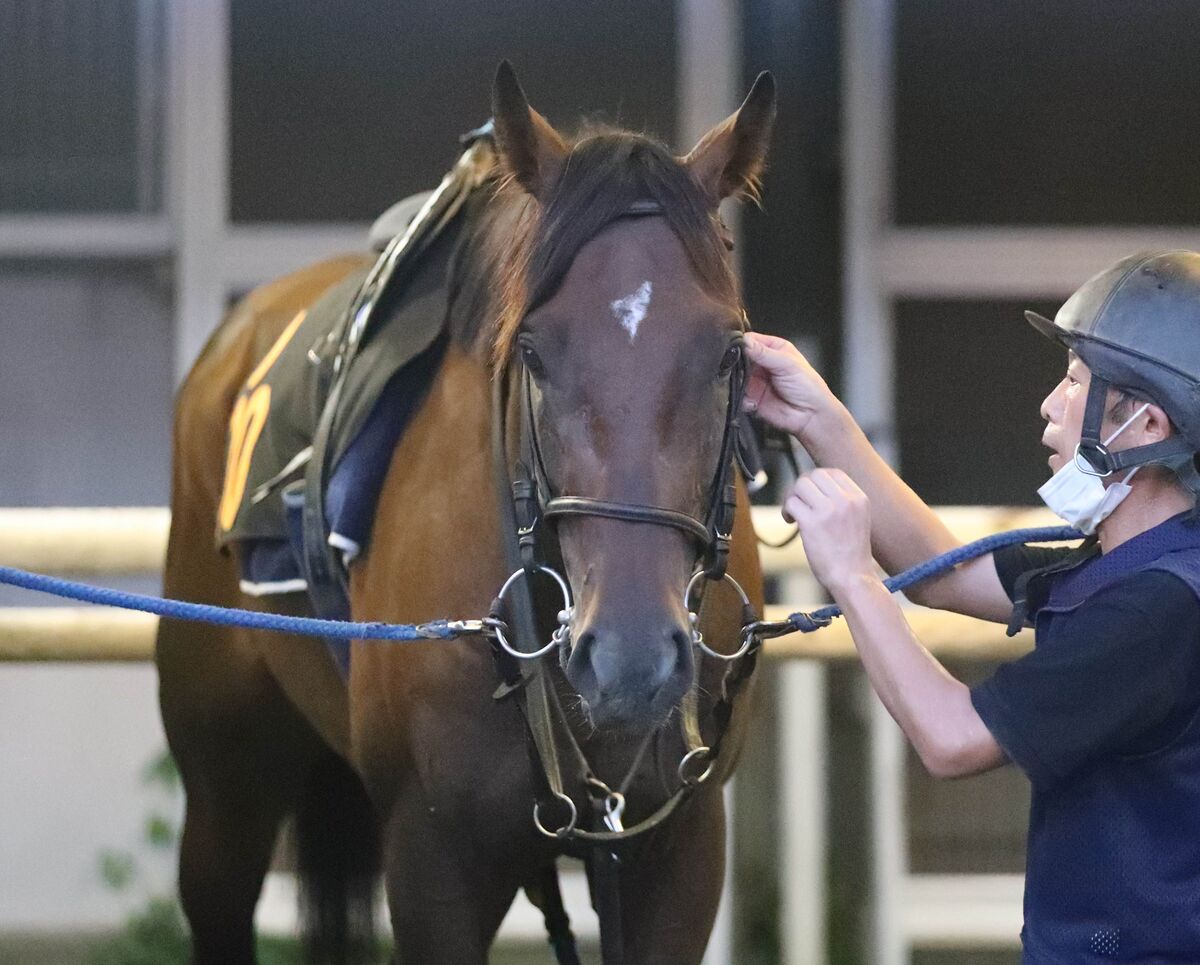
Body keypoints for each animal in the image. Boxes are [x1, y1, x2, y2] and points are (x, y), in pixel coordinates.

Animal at [157, 62, 777, 965]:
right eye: (532, 351)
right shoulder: (432, 862)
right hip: (222, 794)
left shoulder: (682, 849)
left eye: (730, 351)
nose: (631, 657)